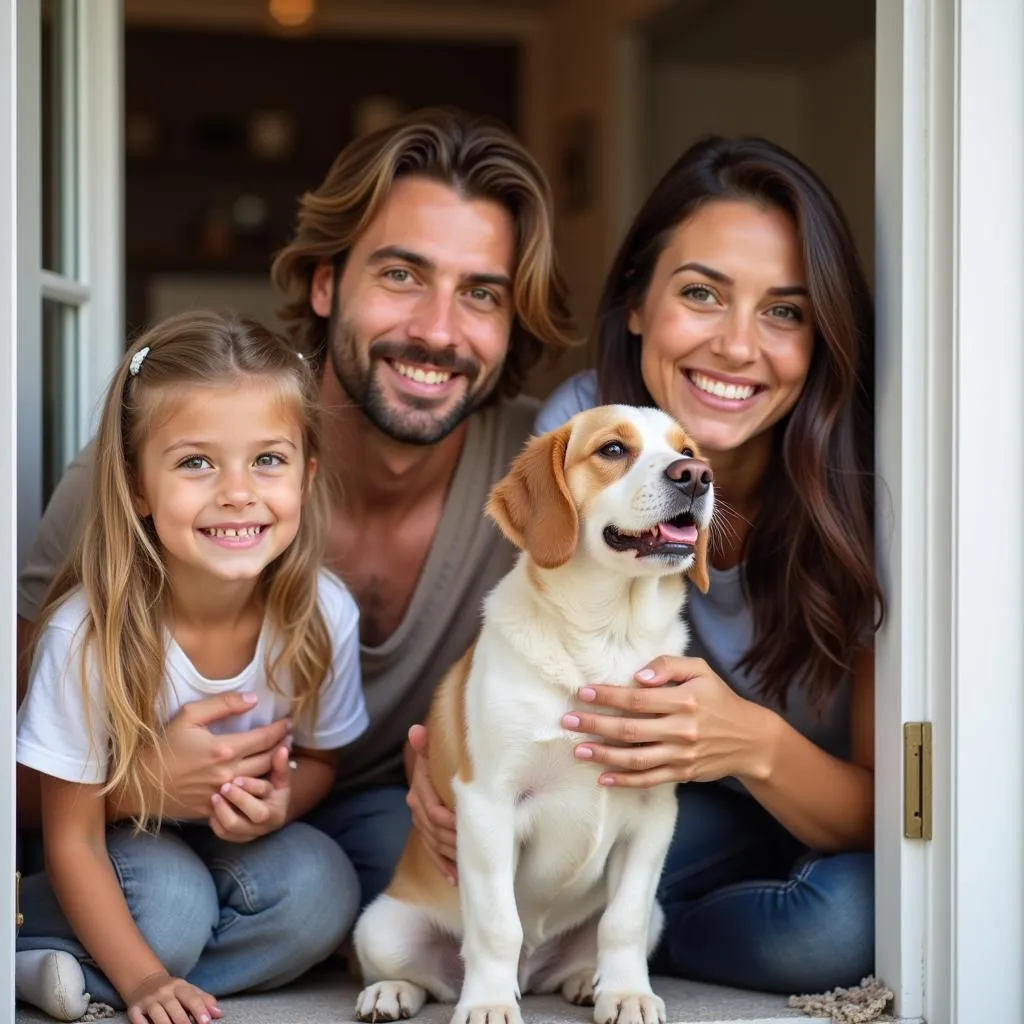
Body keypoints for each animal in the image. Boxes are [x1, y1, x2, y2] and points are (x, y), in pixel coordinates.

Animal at [356, 403, 716, 1024]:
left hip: (653, 918)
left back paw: (585, 983)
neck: (607, 641)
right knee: (430, 978)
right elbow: (498, 926)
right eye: (613, 449)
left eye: (686, 449)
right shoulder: (489, 805)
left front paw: (626, 993)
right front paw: (489, 1003)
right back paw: (393, 992)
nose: (695, 476)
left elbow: (622, 922)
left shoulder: (653, 814)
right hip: (380, 926)